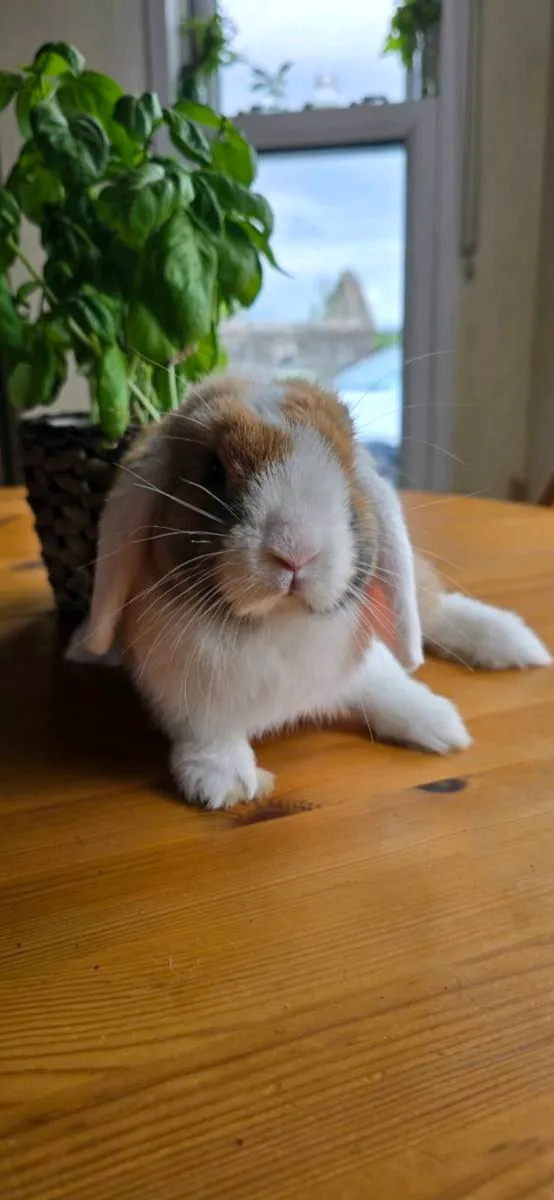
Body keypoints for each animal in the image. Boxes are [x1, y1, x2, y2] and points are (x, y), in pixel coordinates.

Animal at [78, 375, 551, 810]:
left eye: (345, 468)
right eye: (213, 471)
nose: (296, 551)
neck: (275, 623)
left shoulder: (363, 657)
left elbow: (389, 684)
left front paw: (439, 723)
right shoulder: (185, 693)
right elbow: (208, 732)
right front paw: (223, 782)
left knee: (436, 608)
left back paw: (513, 643)